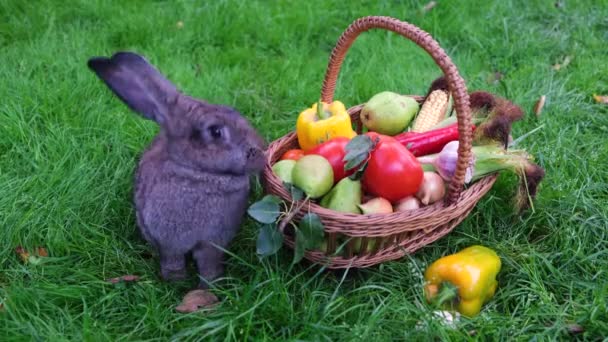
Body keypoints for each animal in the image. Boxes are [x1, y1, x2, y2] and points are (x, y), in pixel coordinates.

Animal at [88, 52, 266, 288]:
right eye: (215, 131)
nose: (262, 152)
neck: (198, 172)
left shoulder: (213, 243)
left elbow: (209, 264)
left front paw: (210, 284)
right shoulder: (169, 243)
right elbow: (173, 260)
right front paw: (176, 282)